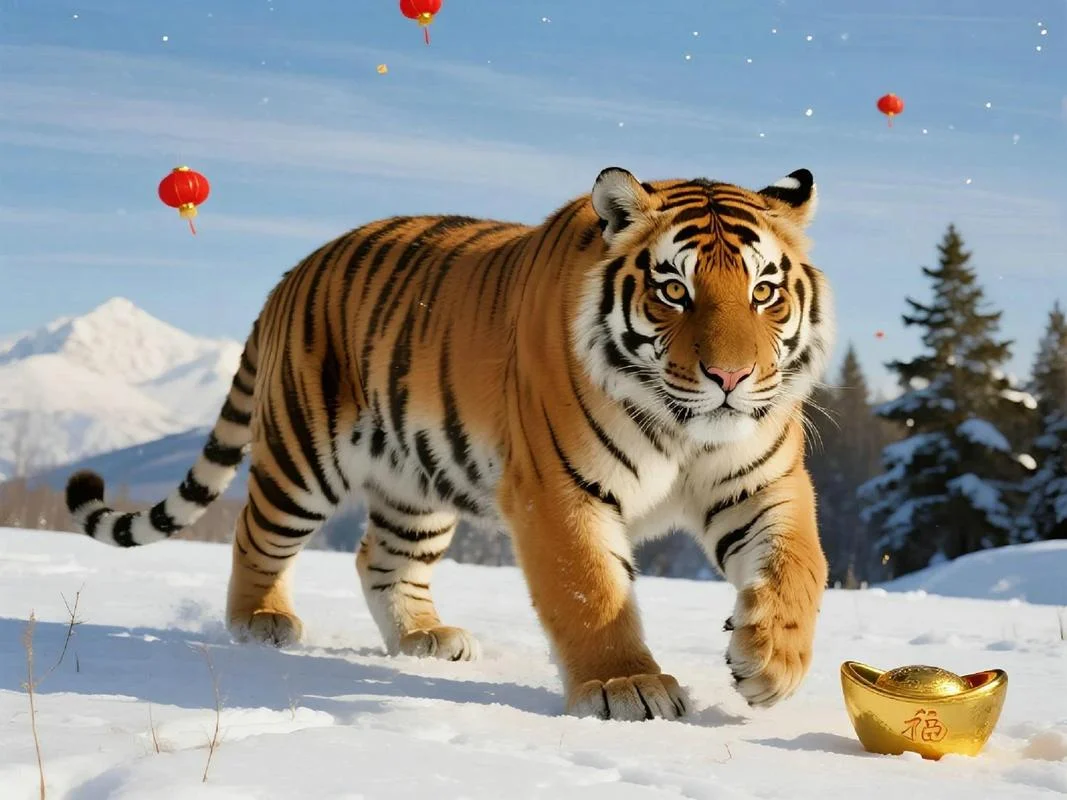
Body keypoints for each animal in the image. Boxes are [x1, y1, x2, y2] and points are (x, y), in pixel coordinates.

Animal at [65, 164, 834, 722]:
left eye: (764, 292)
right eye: (673, 290)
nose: (731, 377)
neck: (682, 431)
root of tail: (291, 275)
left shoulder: (762, 482)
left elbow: (799, 564)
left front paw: (770, 661)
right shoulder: (559, 491)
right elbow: (591, 590)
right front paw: (624, 688)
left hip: (416, 480)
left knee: (380, 557)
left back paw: (423, 638)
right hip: (302, 462)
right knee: (254, 537)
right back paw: (261, 622)